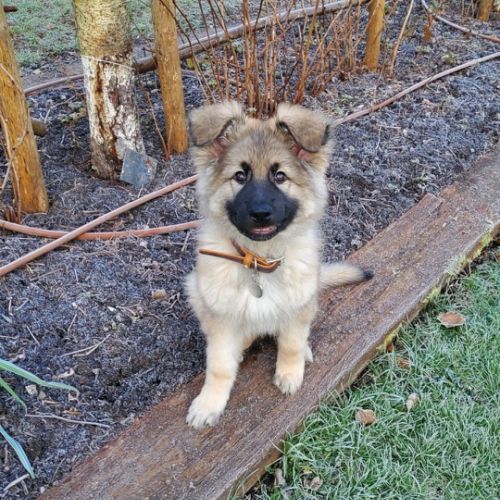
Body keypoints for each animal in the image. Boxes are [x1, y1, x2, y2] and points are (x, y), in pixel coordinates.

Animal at [185, 101, 372, 428]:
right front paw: (209, 404)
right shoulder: (220, 317)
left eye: (280, 176)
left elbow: (292, 343)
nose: (261, 213)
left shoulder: (298, 305)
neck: (260, 261)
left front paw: (289, 372)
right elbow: (219, 366)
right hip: (194, 288)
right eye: (240, 176)